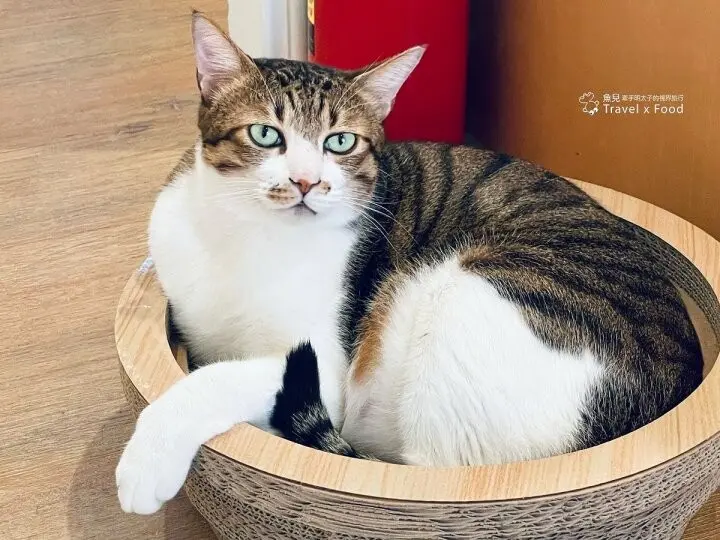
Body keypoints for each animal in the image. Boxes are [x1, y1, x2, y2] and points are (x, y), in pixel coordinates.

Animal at [115, 12, 703, 515]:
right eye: (265, 134)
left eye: (340, 142)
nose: (307, 181)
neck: (244, 236)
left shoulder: (324, 367)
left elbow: (209, 380)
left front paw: (149, 456)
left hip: (473, 297)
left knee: (430, 472)